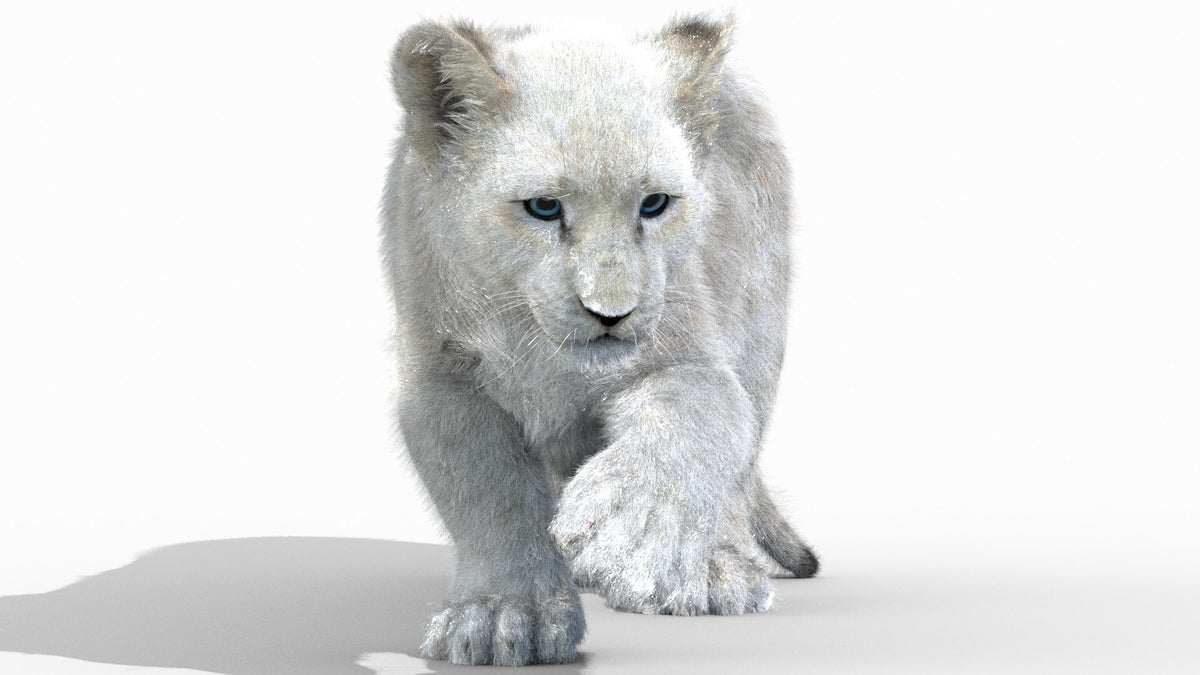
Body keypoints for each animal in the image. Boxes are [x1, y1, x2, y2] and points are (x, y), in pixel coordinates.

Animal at [379, 14, 818, 666]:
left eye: (654, 203)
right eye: (543, 207)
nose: (611, 314)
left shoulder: (688, 353)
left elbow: (701, 410)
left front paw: (632, 527)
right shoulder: (441, 379)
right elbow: (488, 492)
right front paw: (503, 614)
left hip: (761, 323)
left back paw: (712, 571)